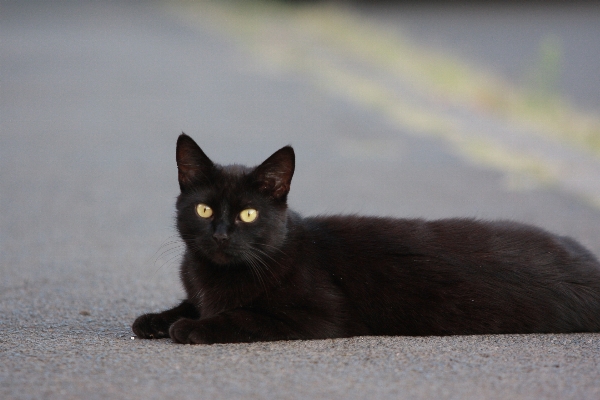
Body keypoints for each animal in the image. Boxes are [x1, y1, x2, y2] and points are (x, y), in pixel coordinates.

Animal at [132, 134, 600, 344]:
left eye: (249, 213)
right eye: (204, 210)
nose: (222, 234)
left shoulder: (317, 316)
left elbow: (241, 316)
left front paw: (188, 327)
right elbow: (189, 301)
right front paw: (154, 319)